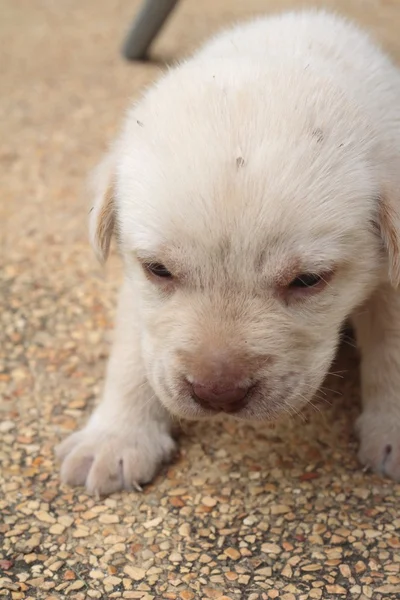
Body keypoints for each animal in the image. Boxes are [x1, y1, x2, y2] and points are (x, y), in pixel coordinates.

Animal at [57, 10, 400, 496]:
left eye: (308, 280)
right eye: (159, 270)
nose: (218, 394)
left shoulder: (392, 280)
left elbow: (393, 349)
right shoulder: (135, 287)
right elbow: (130, 354)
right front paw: (115, 438)